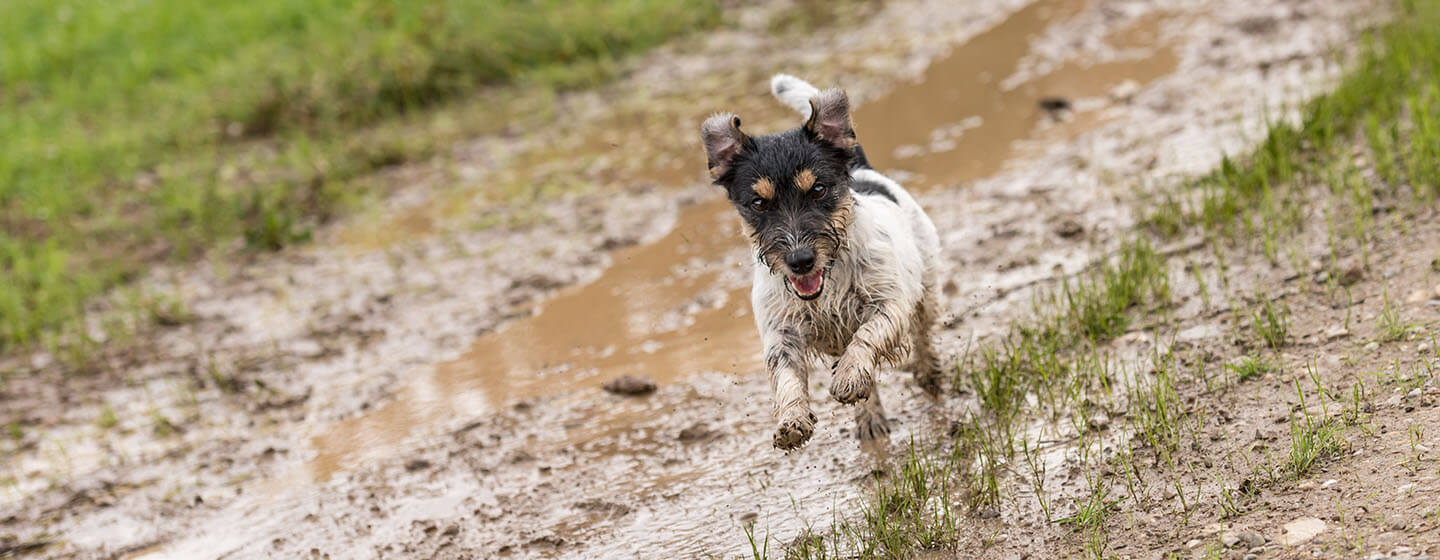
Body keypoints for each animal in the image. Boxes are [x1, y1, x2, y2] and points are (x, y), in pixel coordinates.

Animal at [699, 75, 944, 449]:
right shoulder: (780, 331)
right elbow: (785, 375)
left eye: (818, 190)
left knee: (923, 333)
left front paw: (849, 376)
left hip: (926, 288)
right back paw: (870, 418)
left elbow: (866, 337)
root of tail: (860, 168)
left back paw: (928, 374)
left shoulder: (889, 303)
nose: (800, 260)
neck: (828, 281)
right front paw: (792, 418)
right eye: (758, 203)